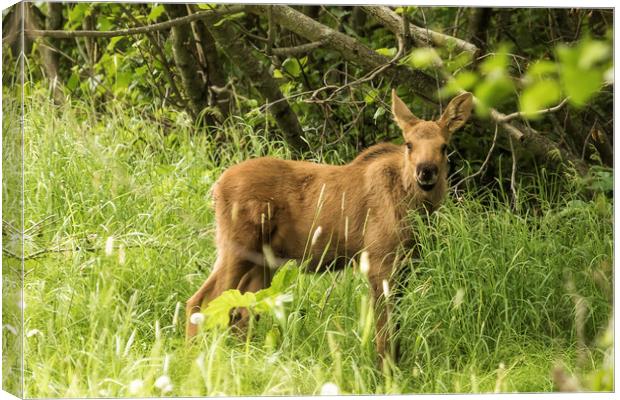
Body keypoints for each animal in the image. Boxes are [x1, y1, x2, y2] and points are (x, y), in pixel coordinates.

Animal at [186, 89, 472, 360]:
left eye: (444, 146)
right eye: (408, 144)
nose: (426, 171)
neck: (415, 209)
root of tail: (216, 187)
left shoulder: (406, 264)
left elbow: (396, 327)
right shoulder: (378, 259)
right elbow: (384, 331)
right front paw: (384, 372)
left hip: (264, 260)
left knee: (241, 310)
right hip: (236, 245)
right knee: (201, 301)